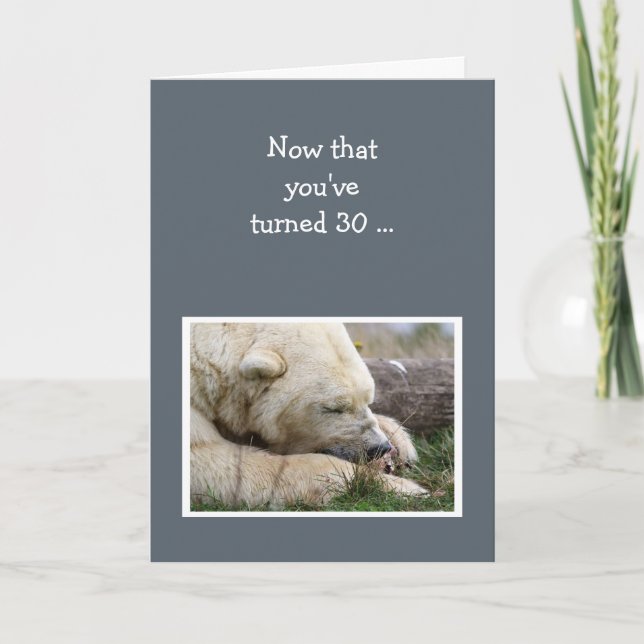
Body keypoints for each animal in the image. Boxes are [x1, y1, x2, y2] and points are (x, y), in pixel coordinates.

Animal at [190, 322, 427, 508]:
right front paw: (404, 488)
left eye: (369, 398)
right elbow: (219, 464)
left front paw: (400, 442)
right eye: (334, 408)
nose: (378, 448)